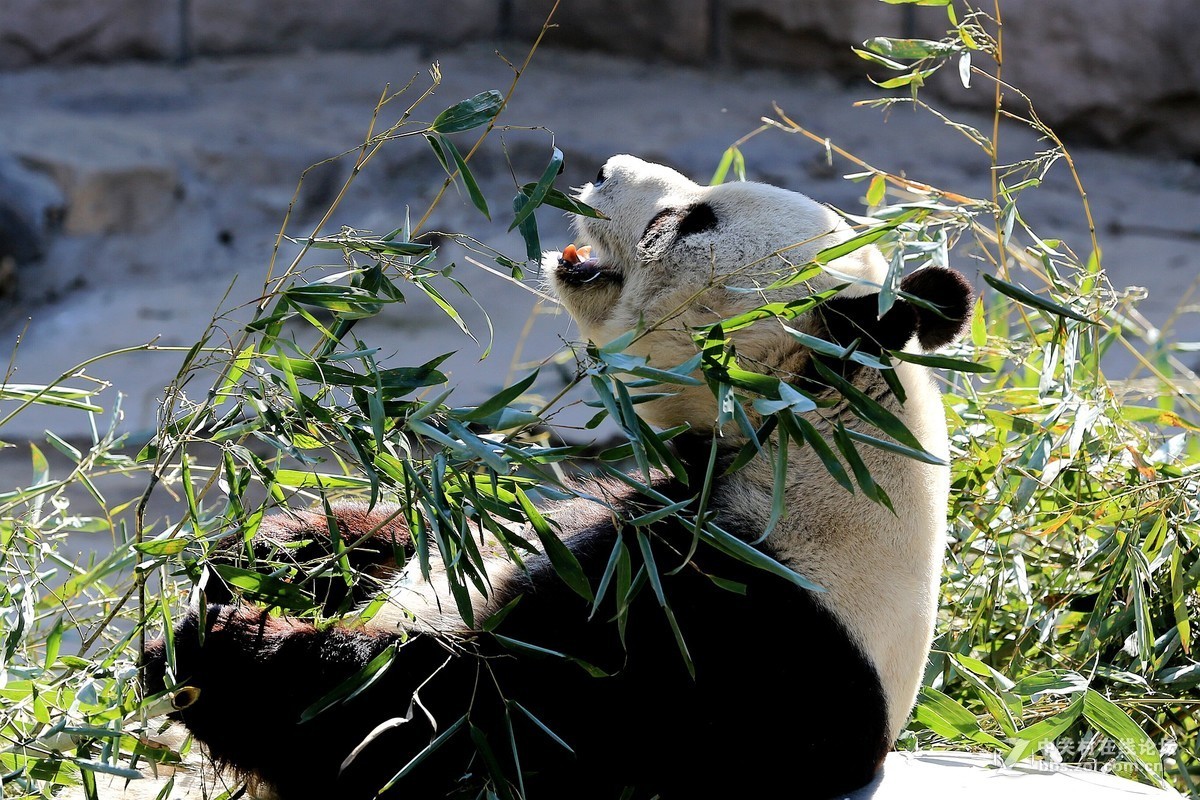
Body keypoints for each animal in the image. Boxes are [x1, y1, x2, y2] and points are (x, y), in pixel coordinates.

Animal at [140, 154, 969, 800]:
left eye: (691, 221)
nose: (603, 170)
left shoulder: (712, 631)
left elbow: (436, 719)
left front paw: (212, 644)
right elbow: (453, 529)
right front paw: (268, 547)